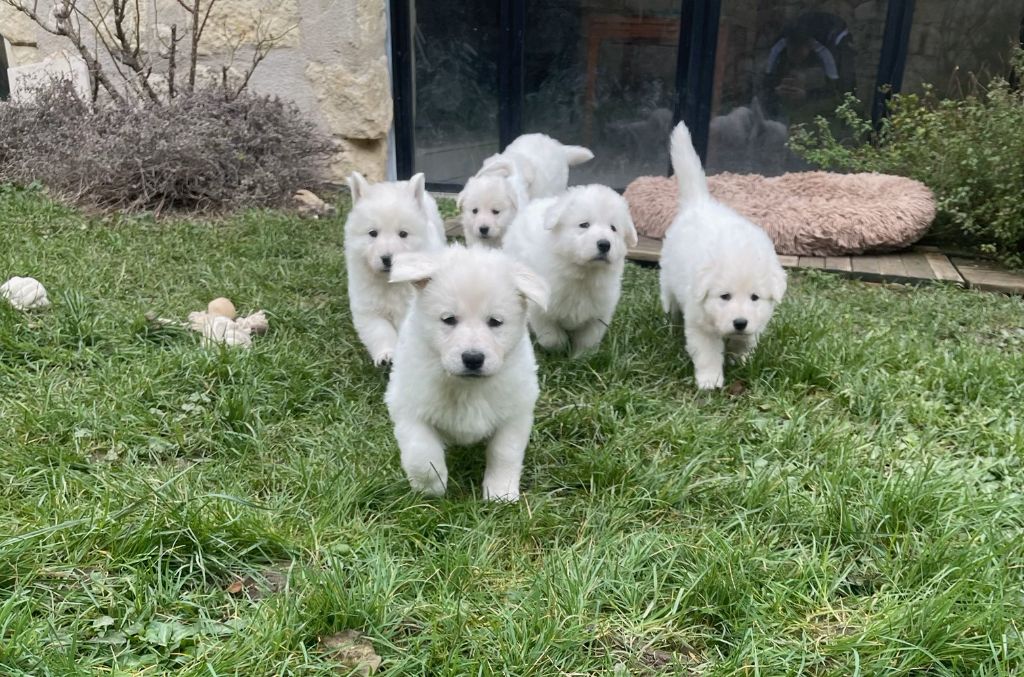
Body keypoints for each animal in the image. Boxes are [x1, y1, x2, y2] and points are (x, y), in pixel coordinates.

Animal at [346, 172, 446, 366]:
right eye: (373, 233)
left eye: (403, 234)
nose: (387, 259)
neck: (389, 282)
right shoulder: (369, 309)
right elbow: (380, 331)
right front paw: (386, 355)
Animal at [385, 243, 548, 501]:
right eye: (449, 319)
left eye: (495, 321)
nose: (473, 358)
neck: (467, 387)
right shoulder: (409, 406)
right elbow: (422, 453)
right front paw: (431, 488)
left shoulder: (516, 411)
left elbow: (505, 452)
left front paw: (501, 493)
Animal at [505, 182, 638, 356]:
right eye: (584, 225)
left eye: (613, 228)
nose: (604, 244)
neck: (582, 273)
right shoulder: (541, 310)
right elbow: (551, 337)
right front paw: (560, 348)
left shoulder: (599, 313)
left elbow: (588, 340)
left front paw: (581, 357)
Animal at [659, 118, 786, 387]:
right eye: (724, 296)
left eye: (755, 297)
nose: (740, 322)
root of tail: (699, 203)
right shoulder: (699, 324)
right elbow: (707, 353)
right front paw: (710, 381)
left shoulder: (756, 322)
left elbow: (744, 342)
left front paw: (741, 361)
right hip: (668, 282)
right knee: (669, 304)